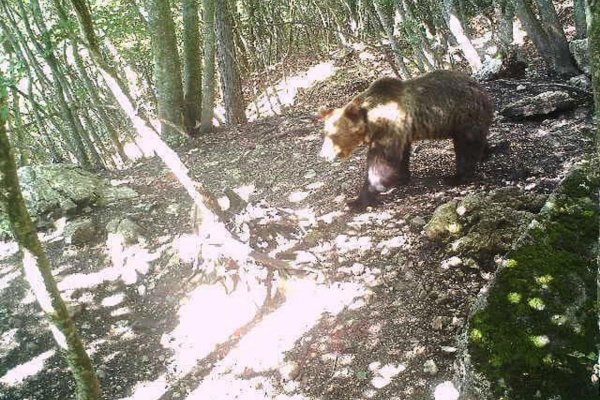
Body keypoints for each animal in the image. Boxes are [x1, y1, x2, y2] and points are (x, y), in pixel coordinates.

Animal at [318, 70, 492, 211]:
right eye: (325, 133)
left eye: (333, 135)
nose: (323, 154)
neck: (370, 122)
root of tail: (480, 88)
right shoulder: (401, 131)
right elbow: (401, 155)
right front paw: (400, 178)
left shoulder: (388, 127)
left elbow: (381, 161)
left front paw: (358, 200)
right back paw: (486, 153)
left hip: (463, 114)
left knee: (466, 146)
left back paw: (456, 177)